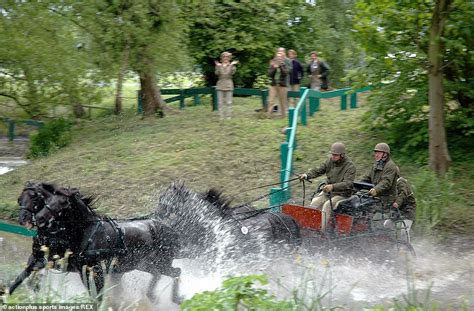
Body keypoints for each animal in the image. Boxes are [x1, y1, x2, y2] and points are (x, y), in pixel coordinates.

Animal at [11, 183, 181, 304]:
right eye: (19, 199)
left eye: (62, 202)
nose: (34, 218)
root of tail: (166, 226)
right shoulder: (45, 260)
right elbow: (22, 277)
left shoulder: (93, 270)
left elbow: (97, 296)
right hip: (143, 264)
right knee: (163, 273)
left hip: (159, 262)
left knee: (175, 272)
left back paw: (173, 298)